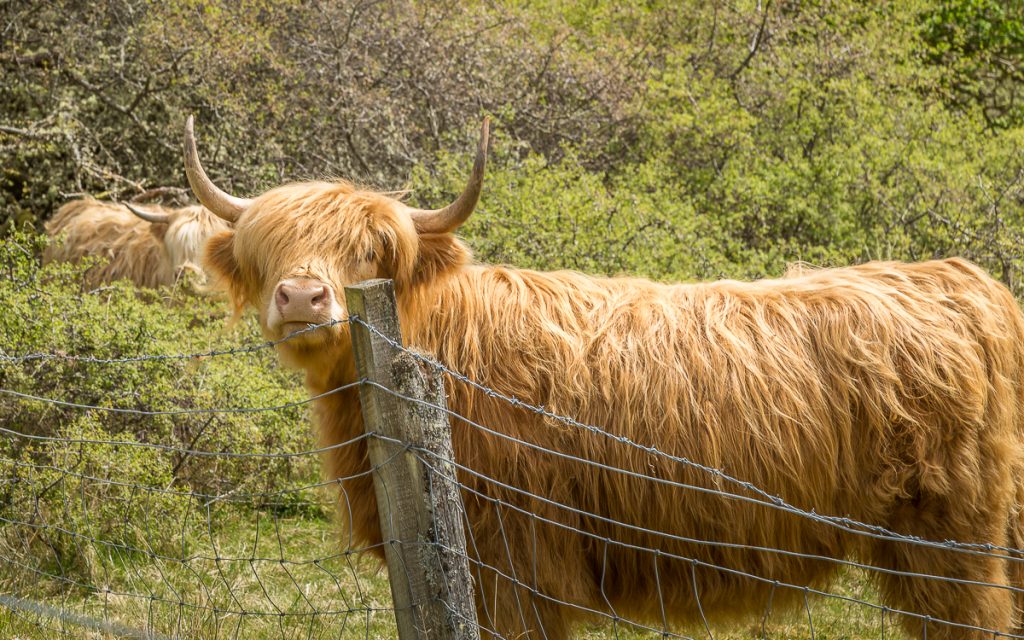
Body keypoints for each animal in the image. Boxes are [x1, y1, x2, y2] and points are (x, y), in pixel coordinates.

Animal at [184, 116, 1024, 638]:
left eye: (368, 251)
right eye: (266, 250)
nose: (302, 298)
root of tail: (963, 280)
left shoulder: (508, 567)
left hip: (949, 539)